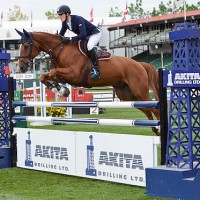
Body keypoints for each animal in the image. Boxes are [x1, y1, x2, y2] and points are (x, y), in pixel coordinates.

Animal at [15, 28, 160, 135]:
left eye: (26, 46)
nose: (21, 67)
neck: (60, 49)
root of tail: (140, 64)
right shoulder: (65, 75)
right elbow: (45, 76)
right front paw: (60, 89)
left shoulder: (73, 74)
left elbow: (52, 73)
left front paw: (60, 89)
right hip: (126, 95)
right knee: (147, 109)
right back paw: (155, 129)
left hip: (139, 91)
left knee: (154, 107)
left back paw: (159, 129)